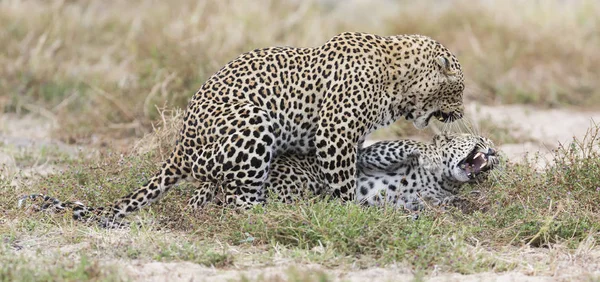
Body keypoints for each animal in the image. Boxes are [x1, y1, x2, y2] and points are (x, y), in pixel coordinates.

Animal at [18, 31, 466, 225]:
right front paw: (352, 212)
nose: (461, 112)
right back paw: (279, 212)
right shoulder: (334, 134)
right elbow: (344, 184)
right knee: (238, 205)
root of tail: (179, 147)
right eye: (459, 89)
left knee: (211, 197)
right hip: (254, 121)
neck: (398, 79)